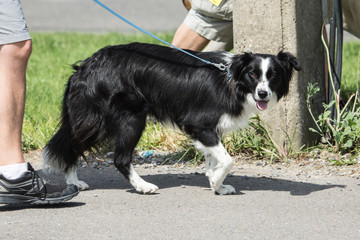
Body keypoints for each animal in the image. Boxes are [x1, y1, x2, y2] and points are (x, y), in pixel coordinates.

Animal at [43, 42, 300, 194]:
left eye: (273, 75)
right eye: (253, 74)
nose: (263, 94)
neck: (233, 80)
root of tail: (84, 67)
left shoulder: (210, 130)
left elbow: (212, 159)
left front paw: (215, 184)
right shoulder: (200, 124)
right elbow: (227, 160)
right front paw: (217, 181)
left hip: (92, 120)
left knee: (71, 144)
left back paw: (73, 182)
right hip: (126, 119)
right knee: (118, 158)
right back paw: (143, 186)